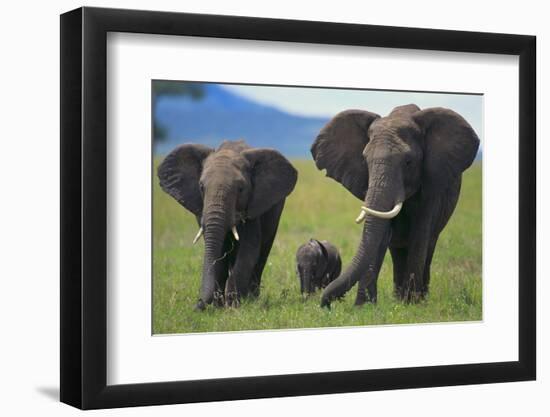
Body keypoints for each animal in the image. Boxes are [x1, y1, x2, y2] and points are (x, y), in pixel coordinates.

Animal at [157, 139, 300, 308]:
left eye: (241, 189)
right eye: (201, 187)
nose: (197, 305)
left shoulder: (253, 206)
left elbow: (248, 250)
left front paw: (233, 306)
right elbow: (217, 253)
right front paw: (218, 305)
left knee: (262, 254)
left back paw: (252, 299)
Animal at [312, 104, 480, 306]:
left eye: (408, 162)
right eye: (365, 160)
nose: (326, 303)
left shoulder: (431, 187)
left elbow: (420, 234)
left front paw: (412, 305)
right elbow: (381, 234)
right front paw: (364, 307)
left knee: (429, 244)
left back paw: (416, 298)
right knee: (397, 250)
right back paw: (398, 298)